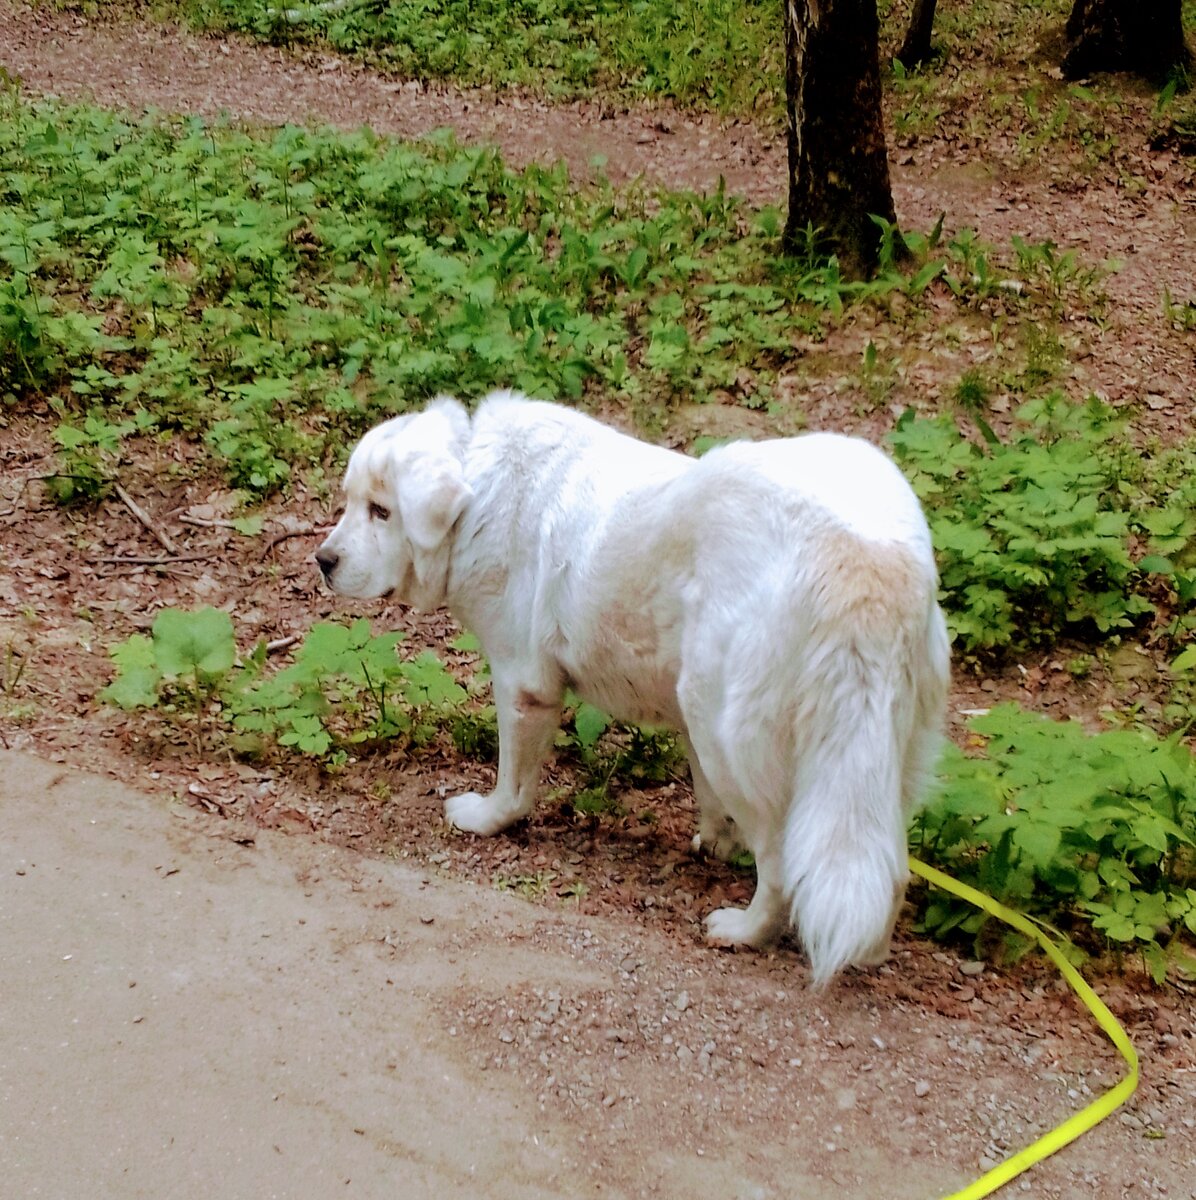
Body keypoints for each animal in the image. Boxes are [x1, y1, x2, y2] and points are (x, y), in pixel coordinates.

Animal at [316, 393, 950, 984]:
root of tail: (866, 563)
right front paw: (716, 841)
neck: (479, 492)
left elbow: (513, 785)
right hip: (863, 759)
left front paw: (487, 819)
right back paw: (868, 953)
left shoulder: (523, 684)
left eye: (382, 512)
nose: (322, 560)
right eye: (352, 504)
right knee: (887, 869)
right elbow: (706, 797)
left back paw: (743, 931)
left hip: (730, 732)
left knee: (781, 865)